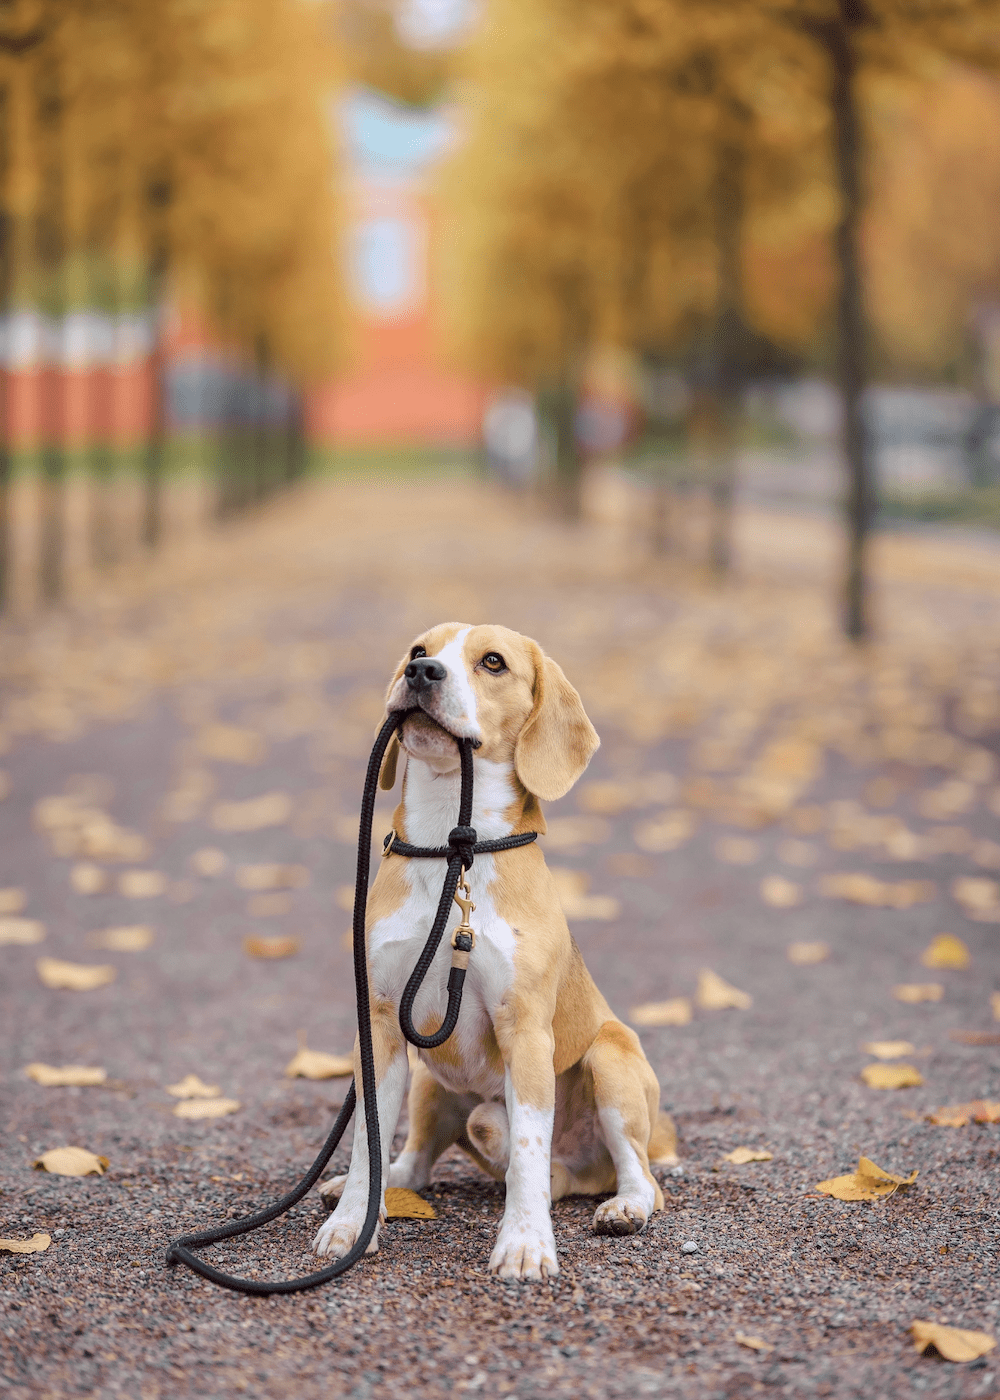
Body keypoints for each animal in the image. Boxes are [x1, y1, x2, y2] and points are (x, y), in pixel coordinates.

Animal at [315, 624, 675, 1282]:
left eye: (493, 662)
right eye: (418, 650)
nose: (422, 673)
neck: (451, 853)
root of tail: (579, 1175)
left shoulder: (526, 1031)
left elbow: (528, 1150)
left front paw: (526, 1243)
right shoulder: (378, 1025)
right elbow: (366, 1143)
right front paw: (353, 1224)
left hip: (611, 1060)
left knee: (631, 1173)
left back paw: (624, 1207)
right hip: (429, 1082)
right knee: (417, 1160)